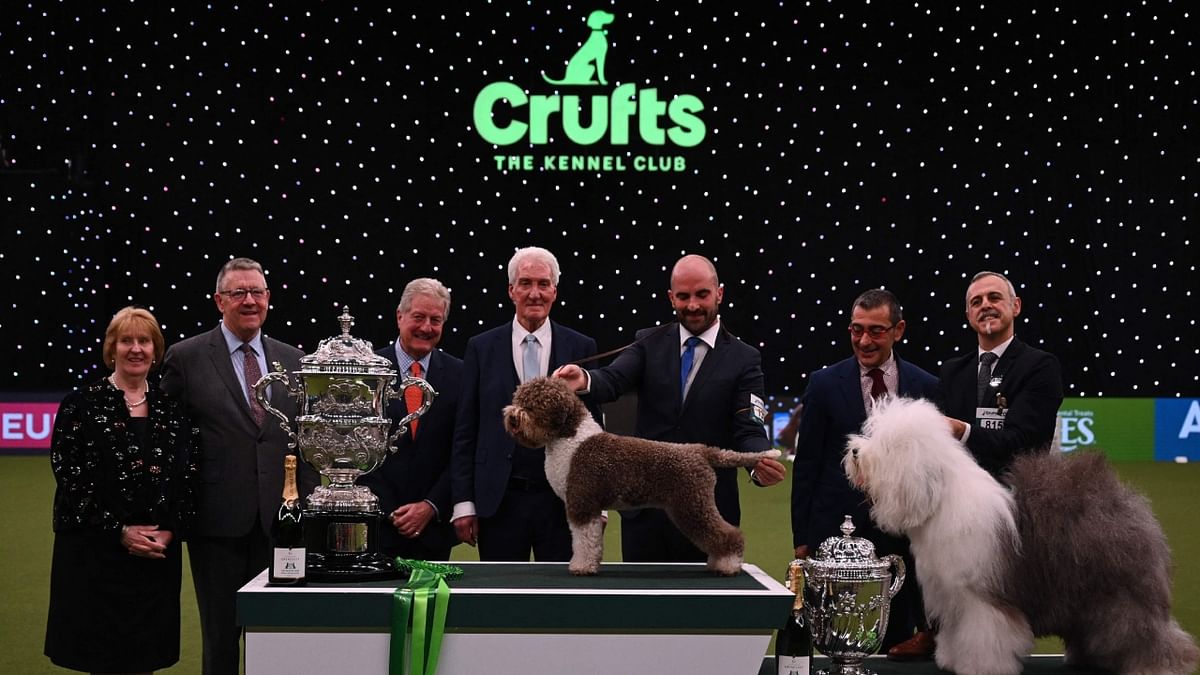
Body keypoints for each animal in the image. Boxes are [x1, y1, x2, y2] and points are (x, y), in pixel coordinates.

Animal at [504, 374, 777, 576]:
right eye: (519, 399)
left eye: (532, 406)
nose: (511, 416)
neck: (570, 438)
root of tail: (700, 450)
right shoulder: (588, 505)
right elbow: (592, 540)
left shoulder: (582, 503)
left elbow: (584, 540)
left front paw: (581, 567)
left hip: (691, 503)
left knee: (728, 533)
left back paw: (728, 565)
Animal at [844, 393, 1200, 672]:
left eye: (888, 445)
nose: (855, 451)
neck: (942, 500)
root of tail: (1123, 500)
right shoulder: (953, 595)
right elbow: (957, 633)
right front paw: (951, 660)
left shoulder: (980, 597)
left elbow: (983, 635)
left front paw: (980, 666)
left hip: (1121, 590)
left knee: (1147, 631)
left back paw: (1158, 664)